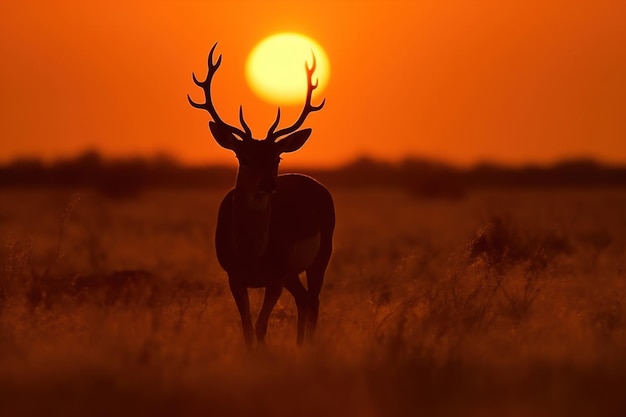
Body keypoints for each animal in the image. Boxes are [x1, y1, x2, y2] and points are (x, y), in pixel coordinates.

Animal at [188, 43, 334, 348]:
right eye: (243, 156)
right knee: (303, 299)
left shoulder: (274, 277)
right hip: (292, 272)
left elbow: (260, 326)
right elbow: (246, 327)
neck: (250, 254)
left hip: (321, 255)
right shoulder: (234, 277)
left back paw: (307, 347)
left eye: (276, 157)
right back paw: (299, 345)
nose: (268, 184)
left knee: (313, 300)